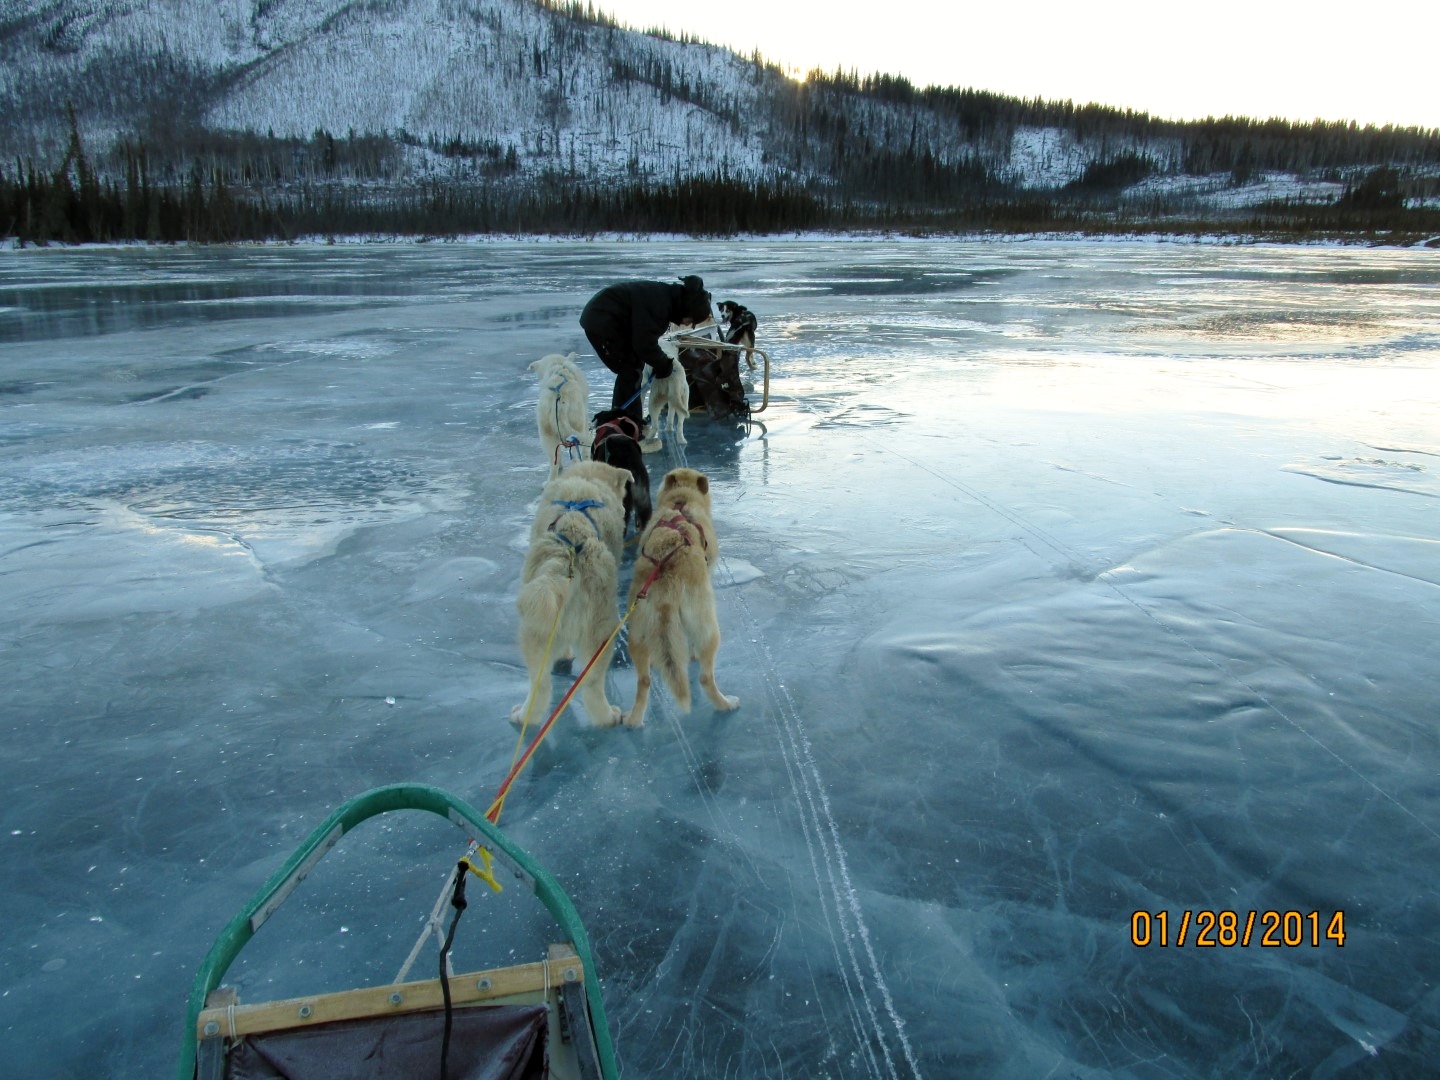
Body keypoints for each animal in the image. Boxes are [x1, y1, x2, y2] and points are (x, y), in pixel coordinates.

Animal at [619, 466, 737, 728]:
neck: (680, 501)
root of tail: (666, 583)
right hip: (708, 628)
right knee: (705, 677)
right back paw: (725, 704)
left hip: (637, 635)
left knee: (644, 681)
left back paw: (633, 719)